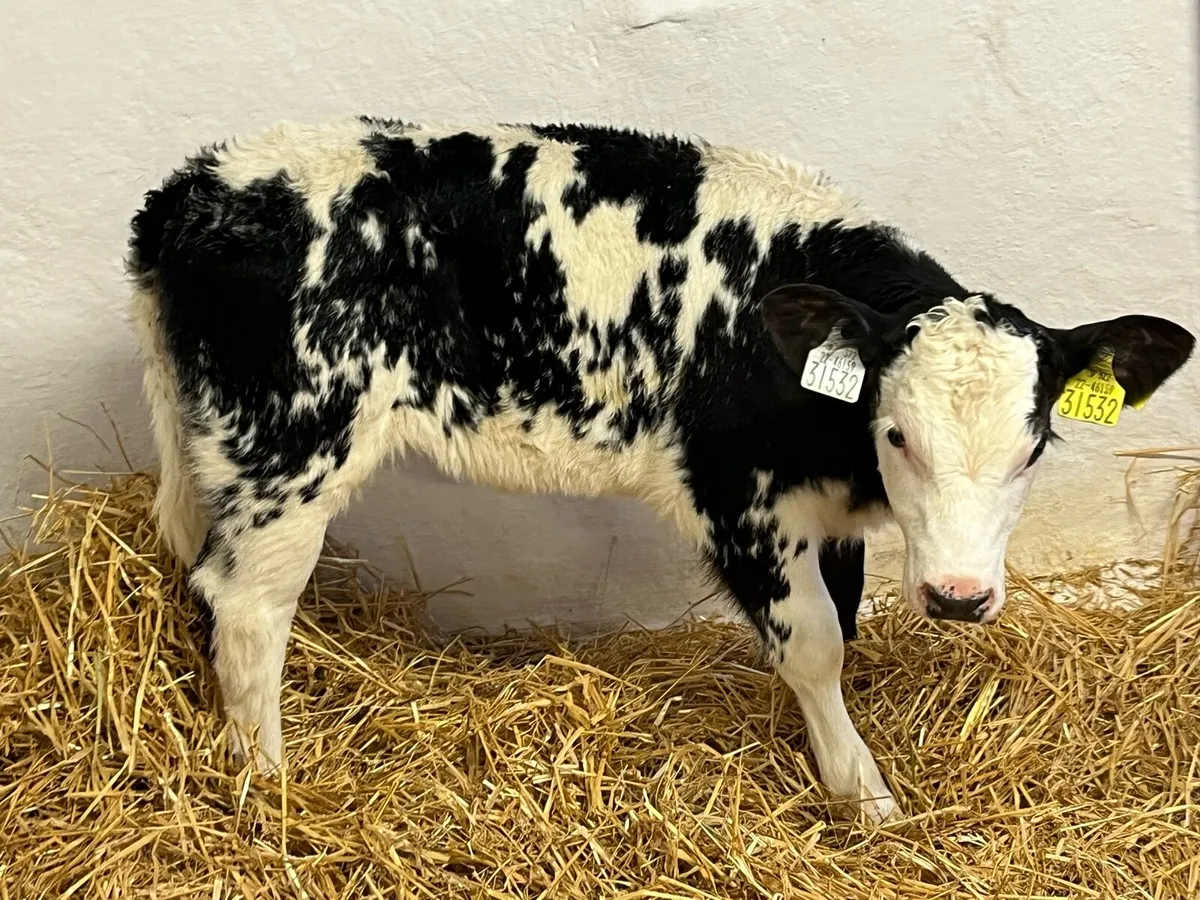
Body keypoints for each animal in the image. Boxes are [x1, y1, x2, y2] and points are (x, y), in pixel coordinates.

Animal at [127, 118, 1194, 823]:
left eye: (1035, 443)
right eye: (895, 435)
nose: (960, 596)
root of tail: (190, 193)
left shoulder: (827, 516)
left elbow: (842, 625)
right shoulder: (737, 497)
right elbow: (815, 643)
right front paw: (864, 796)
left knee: (195, 564)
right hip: (293, 444)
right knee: (247, 604)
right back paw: (267, 785)